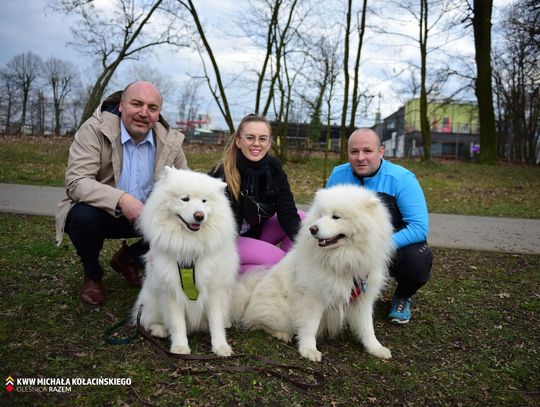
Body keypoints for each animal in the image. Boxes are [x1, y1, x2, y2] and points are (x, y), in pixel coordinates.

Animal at [132, 167, 237, 356]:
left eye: (204, 201)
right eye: (185, 199)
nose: (199, 215)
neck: (189, 247)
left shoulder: (214, 290)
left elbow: (216, 322)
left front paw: (221, 347)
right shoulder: (171, 291)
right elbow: (177, 323)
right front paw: (180, 347)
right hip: (151, 301)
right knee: (147, 320)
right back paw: (159, 330)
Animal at [230, 184, 394, 360]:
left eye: (336, 217)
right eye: (321, 215)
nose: (312, 229)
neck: (342, 261)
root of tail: (250, 294)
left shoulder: (363, 298)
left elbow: (367, 327)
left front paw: (376, 348)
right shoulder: (313, 296)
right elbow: (310, 326)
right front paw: (309, 350)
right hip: (281, 312)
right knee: (259, 322)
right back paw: (282, 334)